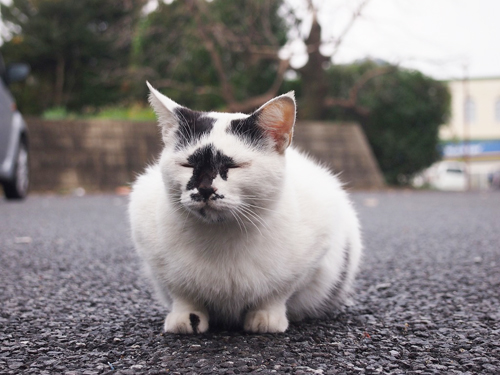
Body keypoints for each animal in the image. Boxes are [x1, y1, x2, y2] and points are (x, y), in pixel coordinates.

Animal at [128, 83, 364, 334]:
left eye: (234, 166)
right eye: (187, 164)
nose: (205, 189)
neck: (221, 239)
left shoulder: (313, 252)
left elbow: (277, 292)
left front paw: (266, 317)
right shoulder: (157, 259)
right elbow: (182, 292)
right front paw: (186, 318)